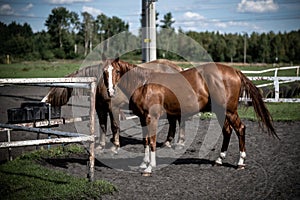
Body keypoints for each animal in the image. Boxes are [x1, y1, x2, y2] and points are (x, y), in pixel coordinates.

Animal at [42, 58, 183, 152]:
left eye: (55, 88)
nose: (44, 100)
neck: (100, 83)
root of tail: (178, 69)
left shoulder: (113, 108)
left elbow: (114, 126)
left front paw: (115, 145)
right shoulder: (100, 108)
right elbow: (103, 126)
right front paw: (101, 145)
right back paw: (168, 142)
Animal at [103, 57, 278, 175]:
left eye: (117, 71)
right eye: (104, 73)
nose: (110, 92)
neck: (144, 84)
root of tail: (235, 71)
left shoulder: (151, 118)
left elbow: (151, 142)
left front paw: (149, 167)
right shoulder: (142, 118)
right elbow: (146, 141)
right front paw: (143, 164)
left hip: (229, 111)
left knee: (240, 128)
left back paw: (240, 162)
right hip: (221, 112)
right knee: (227, 131)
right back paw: (219, 160)